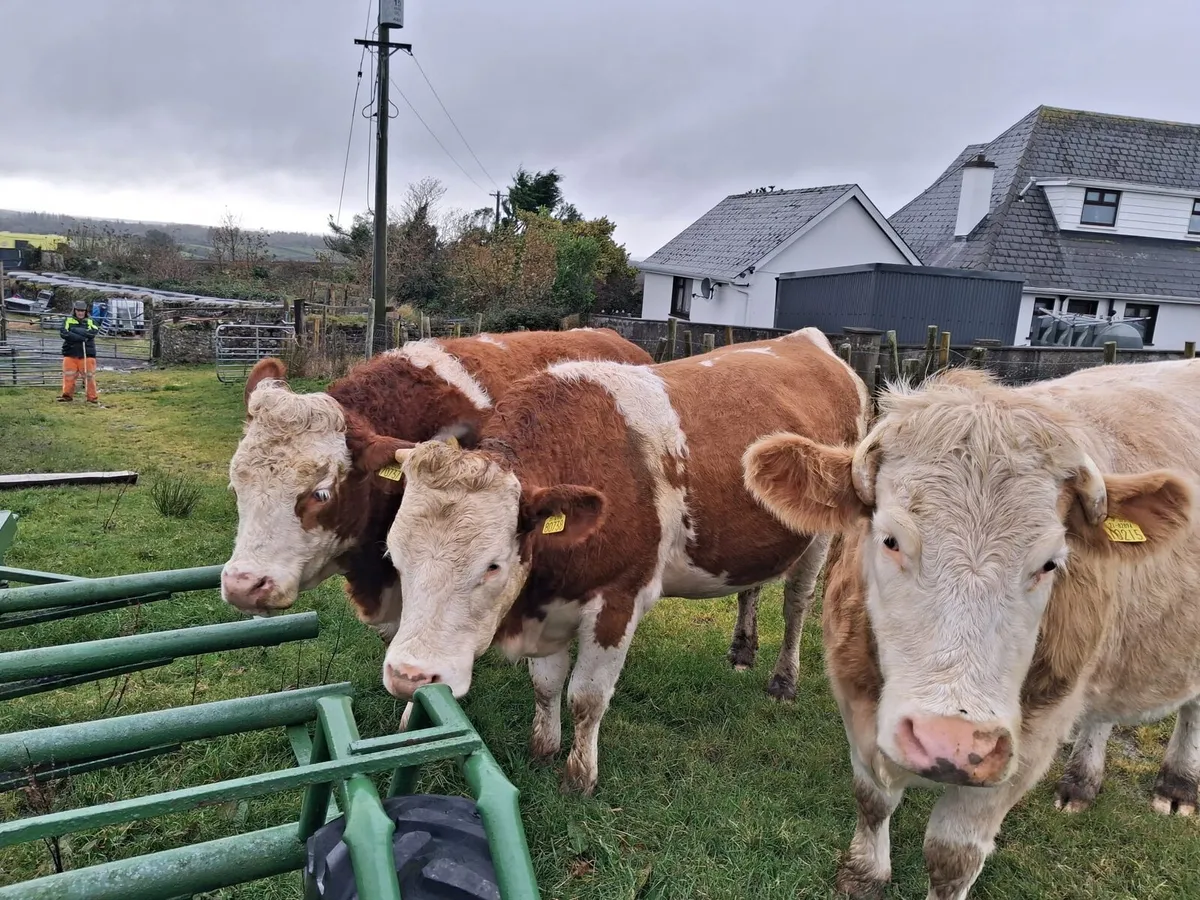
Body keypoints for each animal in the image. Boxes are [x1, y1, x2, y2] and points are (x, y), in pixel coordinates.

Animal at [377, 327, 870, 795]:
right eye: (394, 556)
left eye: (493, 565)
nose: (408, 676)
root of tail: (807, 341)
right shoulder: (550, 600)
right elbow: (546, 684)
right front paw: (543, 749)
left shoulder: (619, 599)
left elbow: (586, 697)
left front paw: (579, 778)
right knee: (751, 587)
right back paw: (742, 650)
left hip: (819, 536)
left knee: (796, 604)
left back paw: (783, 680)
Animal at [741, 360, 1200, 900]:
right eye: (890, 539)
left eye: (1050, 563)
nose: (951, 742)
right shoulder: (855, 695)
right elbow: (872, 800)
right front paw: (863, 876)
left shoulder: (1028, 742)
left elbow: (953, 856)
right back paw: (1081, 782)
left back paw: (1177, 785)